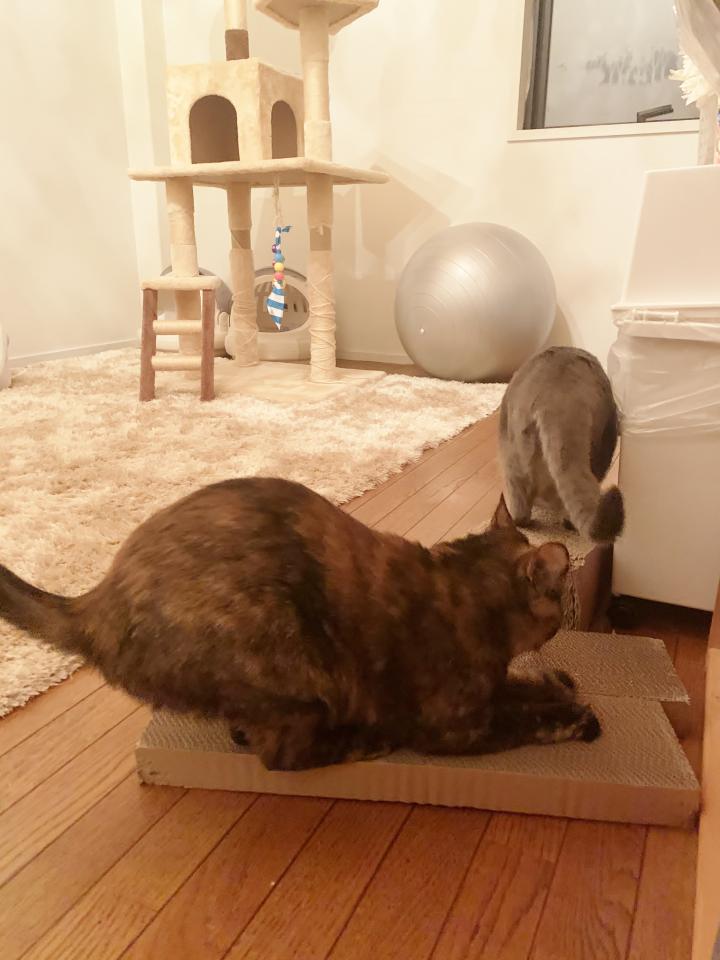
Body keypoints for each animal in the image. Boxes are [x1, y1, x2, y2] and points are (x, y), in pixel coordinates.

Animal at [0, 477, 600, 770]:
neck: (463, 588)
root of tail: (94, 603)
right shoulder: (455, 725)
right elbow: (520, 720)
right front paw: (572, 719)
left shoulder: (490, 686)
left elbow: (522, 688)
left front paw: (558, 686)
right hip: (285, 659)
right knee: (279, 755)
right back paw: (365, 741)